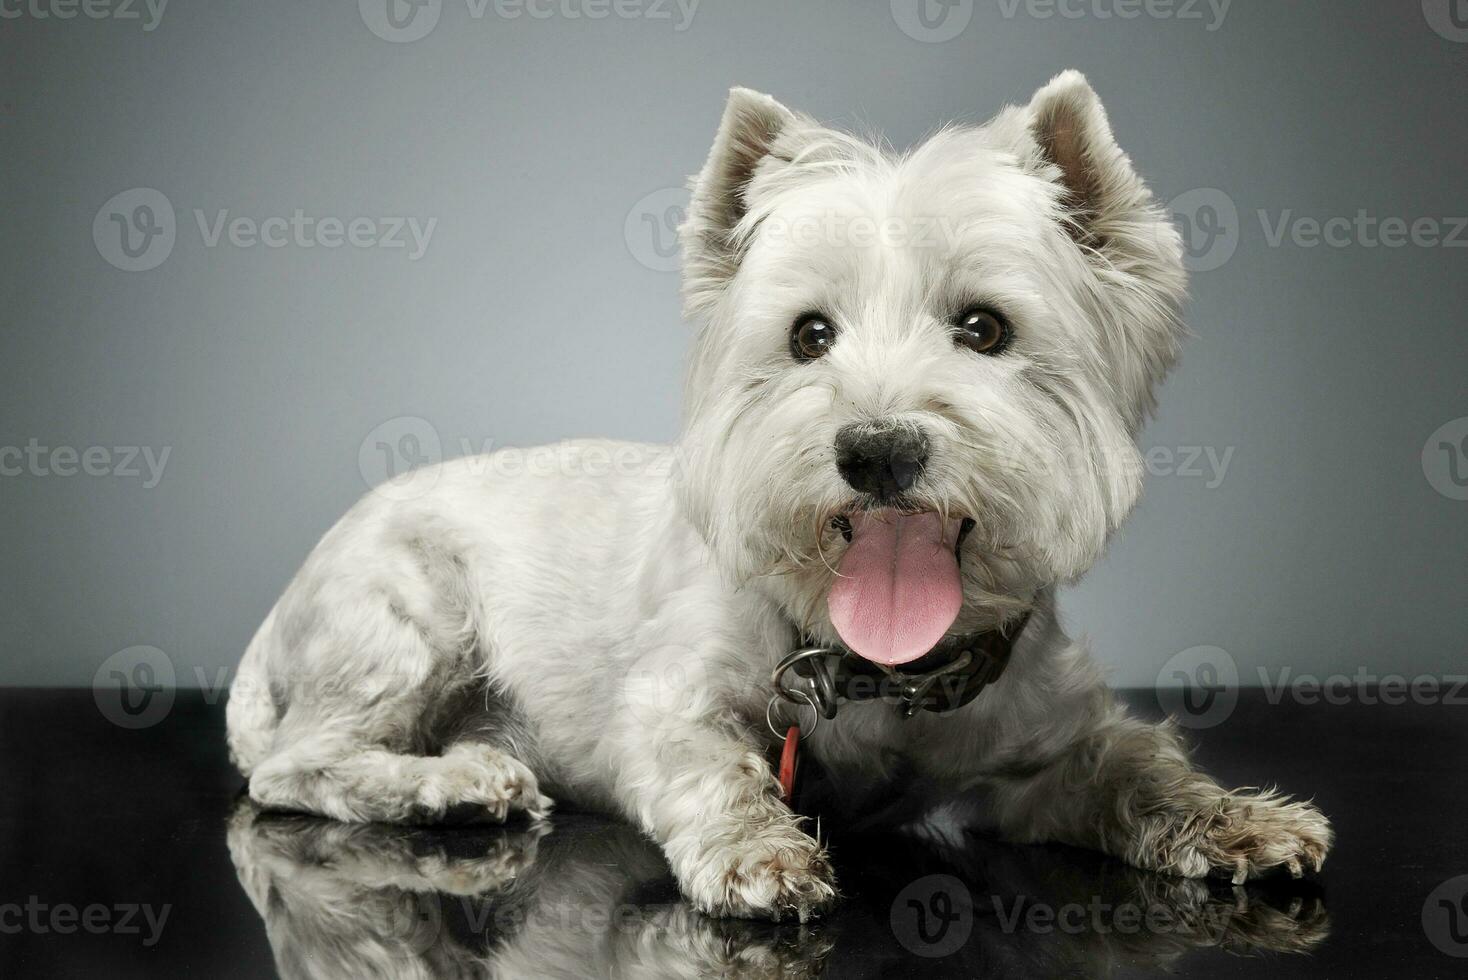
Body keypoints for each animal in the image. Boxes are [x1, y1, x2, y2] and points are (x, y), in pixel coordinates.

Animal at [226, 72, 1332, 921]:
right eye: (809, 334)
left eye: (984, 327)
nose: (877, 449)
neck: (883, 675)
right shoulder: (665, 705)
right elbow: (713, 765)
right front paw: (759, 851)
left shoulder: (1045, 745)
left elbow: (1137, 763)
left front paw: (1242, 818)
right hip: (409, 617)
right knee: (294, 761)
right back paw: (452, 783)